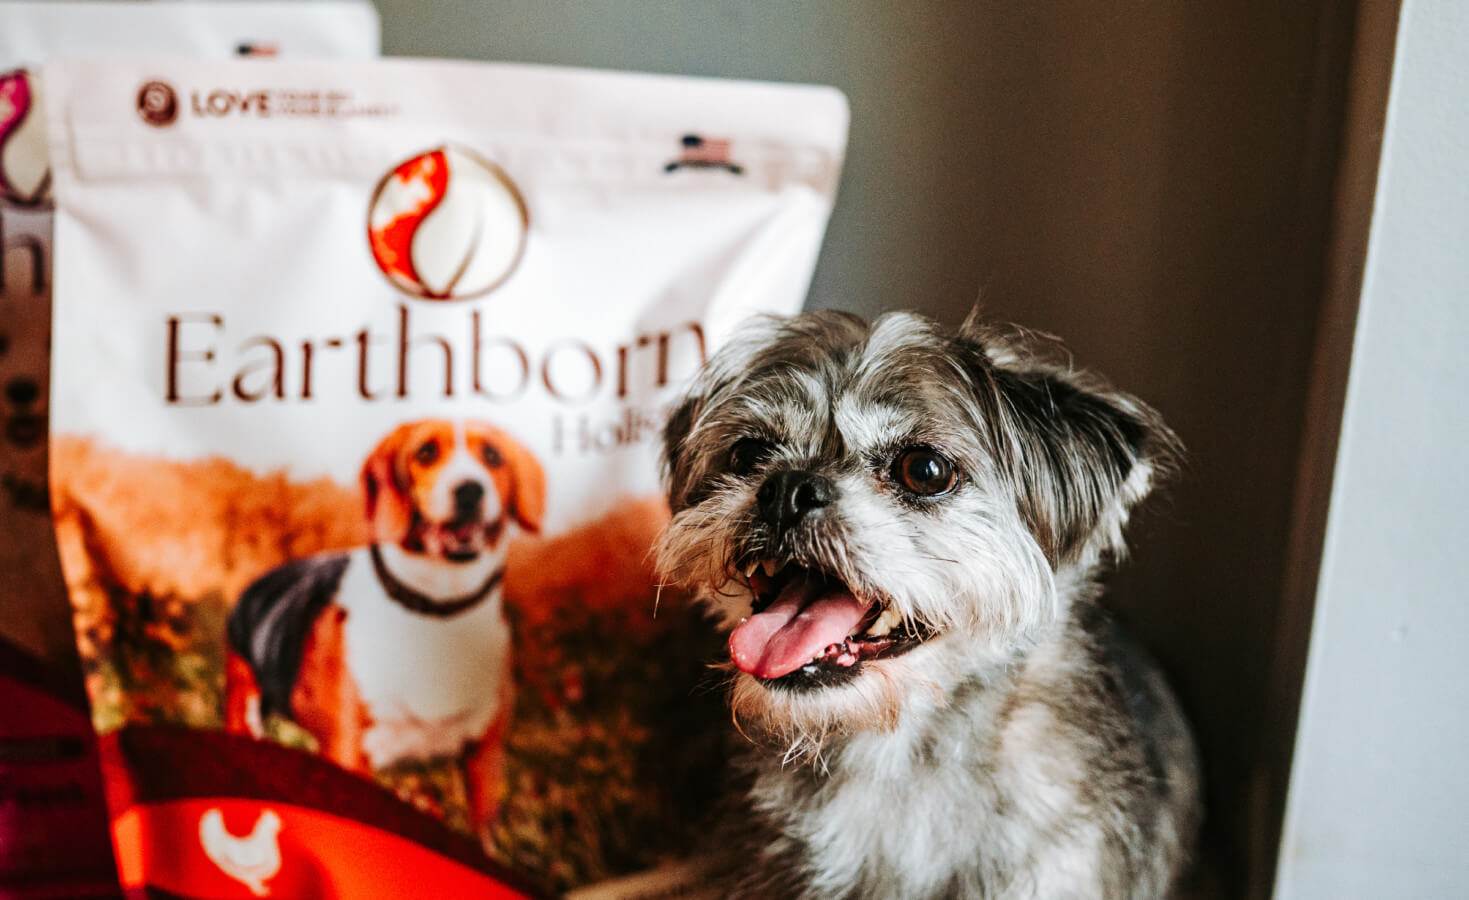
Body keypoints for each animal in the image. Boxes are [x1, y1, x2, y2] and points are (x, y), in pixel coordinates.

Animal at [226, 416, 549, 822]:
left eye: (493, 456)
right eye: (426, 453)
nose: (470, 491)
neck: (437, 611)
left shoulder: (484, 760)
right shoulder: (348, 751)